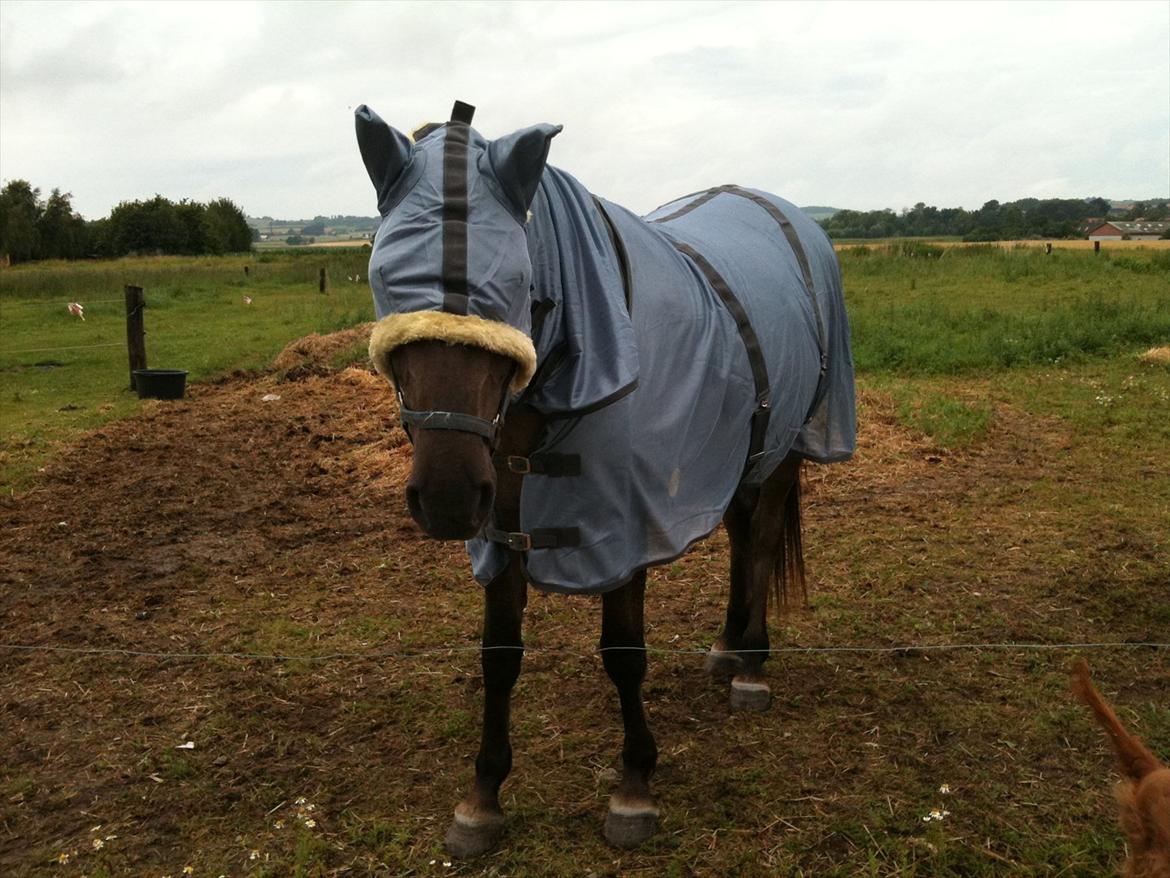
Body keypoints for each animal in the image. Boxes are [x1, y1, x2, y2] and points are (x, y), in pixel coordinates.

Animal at [351, 99, 856, 856]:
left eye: (514, 284)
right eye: (385, 279)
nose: (445, 497)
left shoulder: (627, 531)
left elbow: (622, 653)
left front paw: (634, 786)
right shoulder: (502, 531)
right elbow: (498, 655)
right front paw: (483, 799)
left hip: (790, 447)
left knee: (763, 541)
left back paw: (751, 668)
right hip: (747, 452)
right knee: (742, 541)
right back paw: (728, 647)